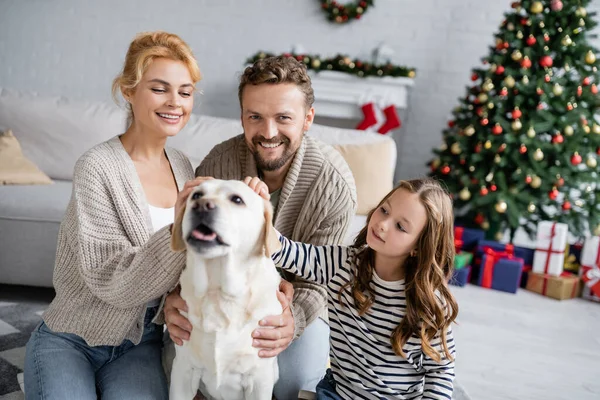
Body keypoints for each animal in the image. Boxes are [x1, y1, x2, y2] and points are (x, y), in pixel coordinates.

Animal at [169, 179, 282, 400]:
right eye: (196, 195)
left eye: (237, 199)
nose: (201, 206)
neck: (218, 293)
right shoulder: (183, 370)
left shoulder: (259, 379)